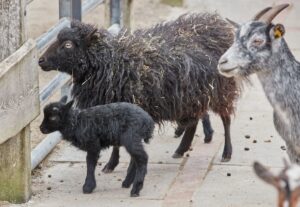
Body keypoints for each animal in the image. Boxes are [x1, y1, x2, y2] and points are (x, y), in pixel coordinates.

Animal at [38, 12, 239, 173]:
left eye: (68, 45)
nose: (41, 60)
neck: (111, 63)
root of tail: (218, 25)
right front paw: (111, 165)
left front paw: (124, 167)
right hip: (193, 95)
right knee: (194, 121)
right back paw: (181, 149)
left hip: (220, 89)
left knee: (226, 119)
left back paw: (227, 153)